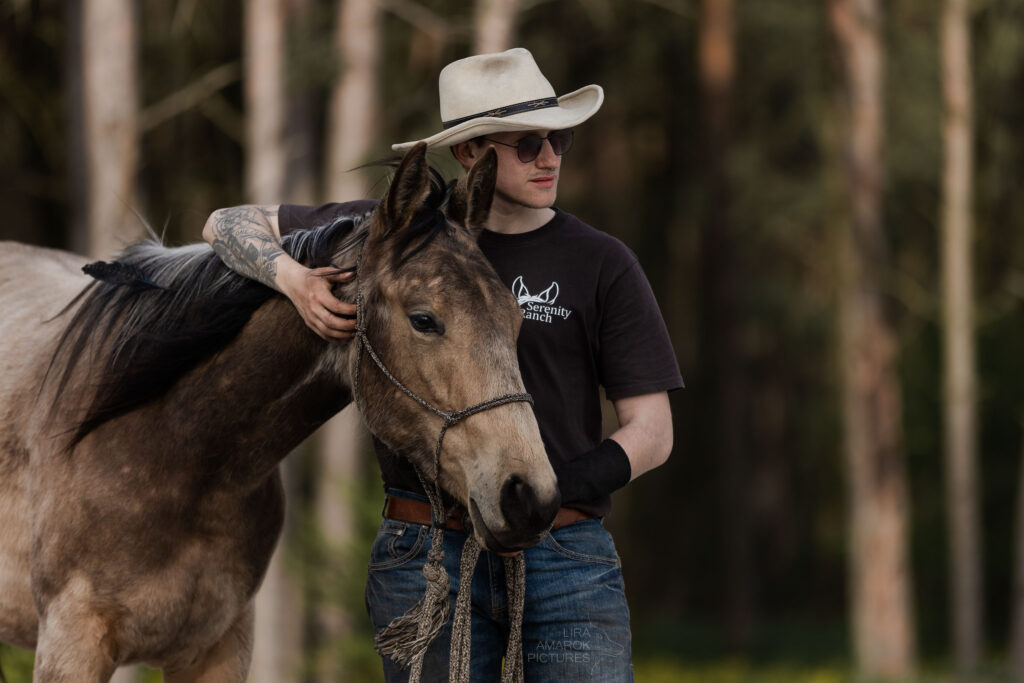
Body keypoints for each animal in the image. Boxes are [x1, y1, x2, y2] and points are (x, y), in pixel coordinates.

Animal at [0, 143, 560, 682]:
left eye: (515, 318)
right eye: (424, 320)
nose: (530, 497)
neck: (171, 454)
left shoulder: (220, 650)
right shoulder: (71, 647)